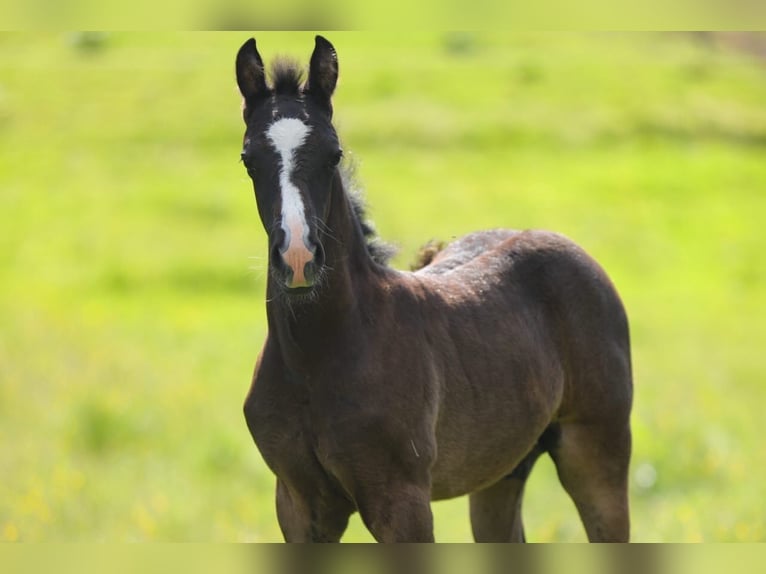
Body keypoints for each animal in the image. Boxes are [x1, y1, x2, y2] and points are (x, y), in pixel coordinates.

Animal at [236, 36, 633, 542]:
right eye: (249, 159)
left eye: (334, 154)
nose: (299, 258)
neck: (318, 357)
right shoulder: (297, 504)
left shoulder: (403, 503)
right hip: (502, 469)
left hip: (596, 450)